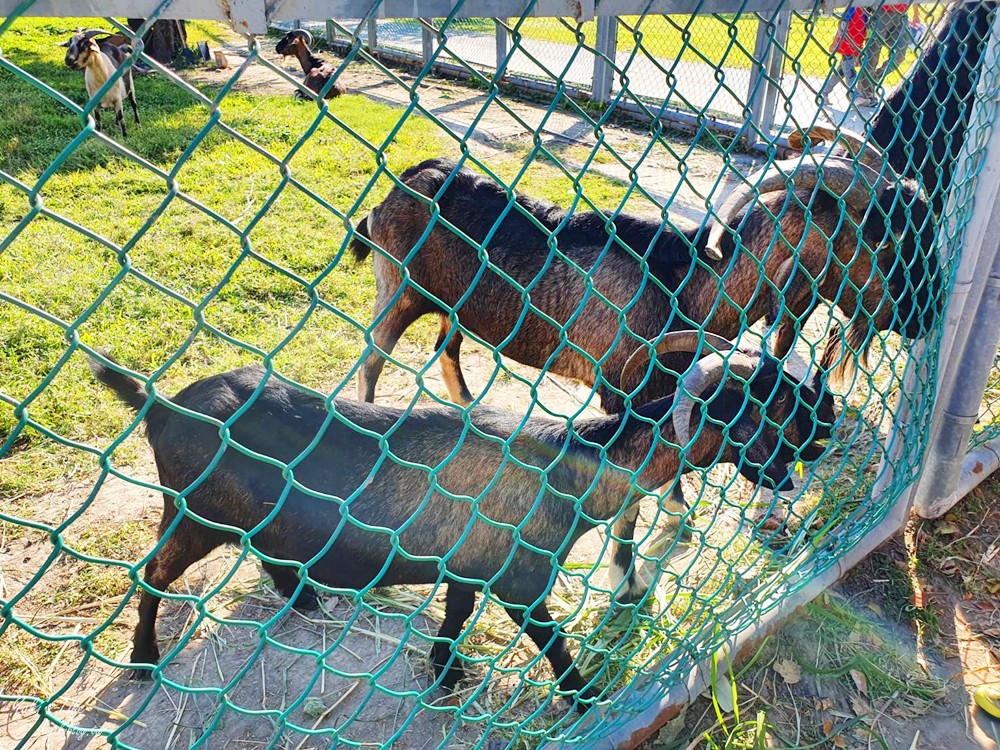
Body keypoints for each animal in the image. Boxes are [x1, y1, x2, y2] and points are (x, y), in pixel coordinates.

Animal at [88, 334, 836, 712]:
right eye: (778, 405)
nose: (829, 434)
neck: (573, 466)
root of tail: (161, 406)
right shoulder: (521, 582)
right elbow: (553, 645)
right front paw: (586, 697)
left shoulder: (467, 565)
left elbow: (453, 616)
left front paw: (446, 672)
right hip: (193, 514)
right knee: (152, 573)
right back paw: (144, 660)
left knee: (267, 551)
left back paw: (304, 599)